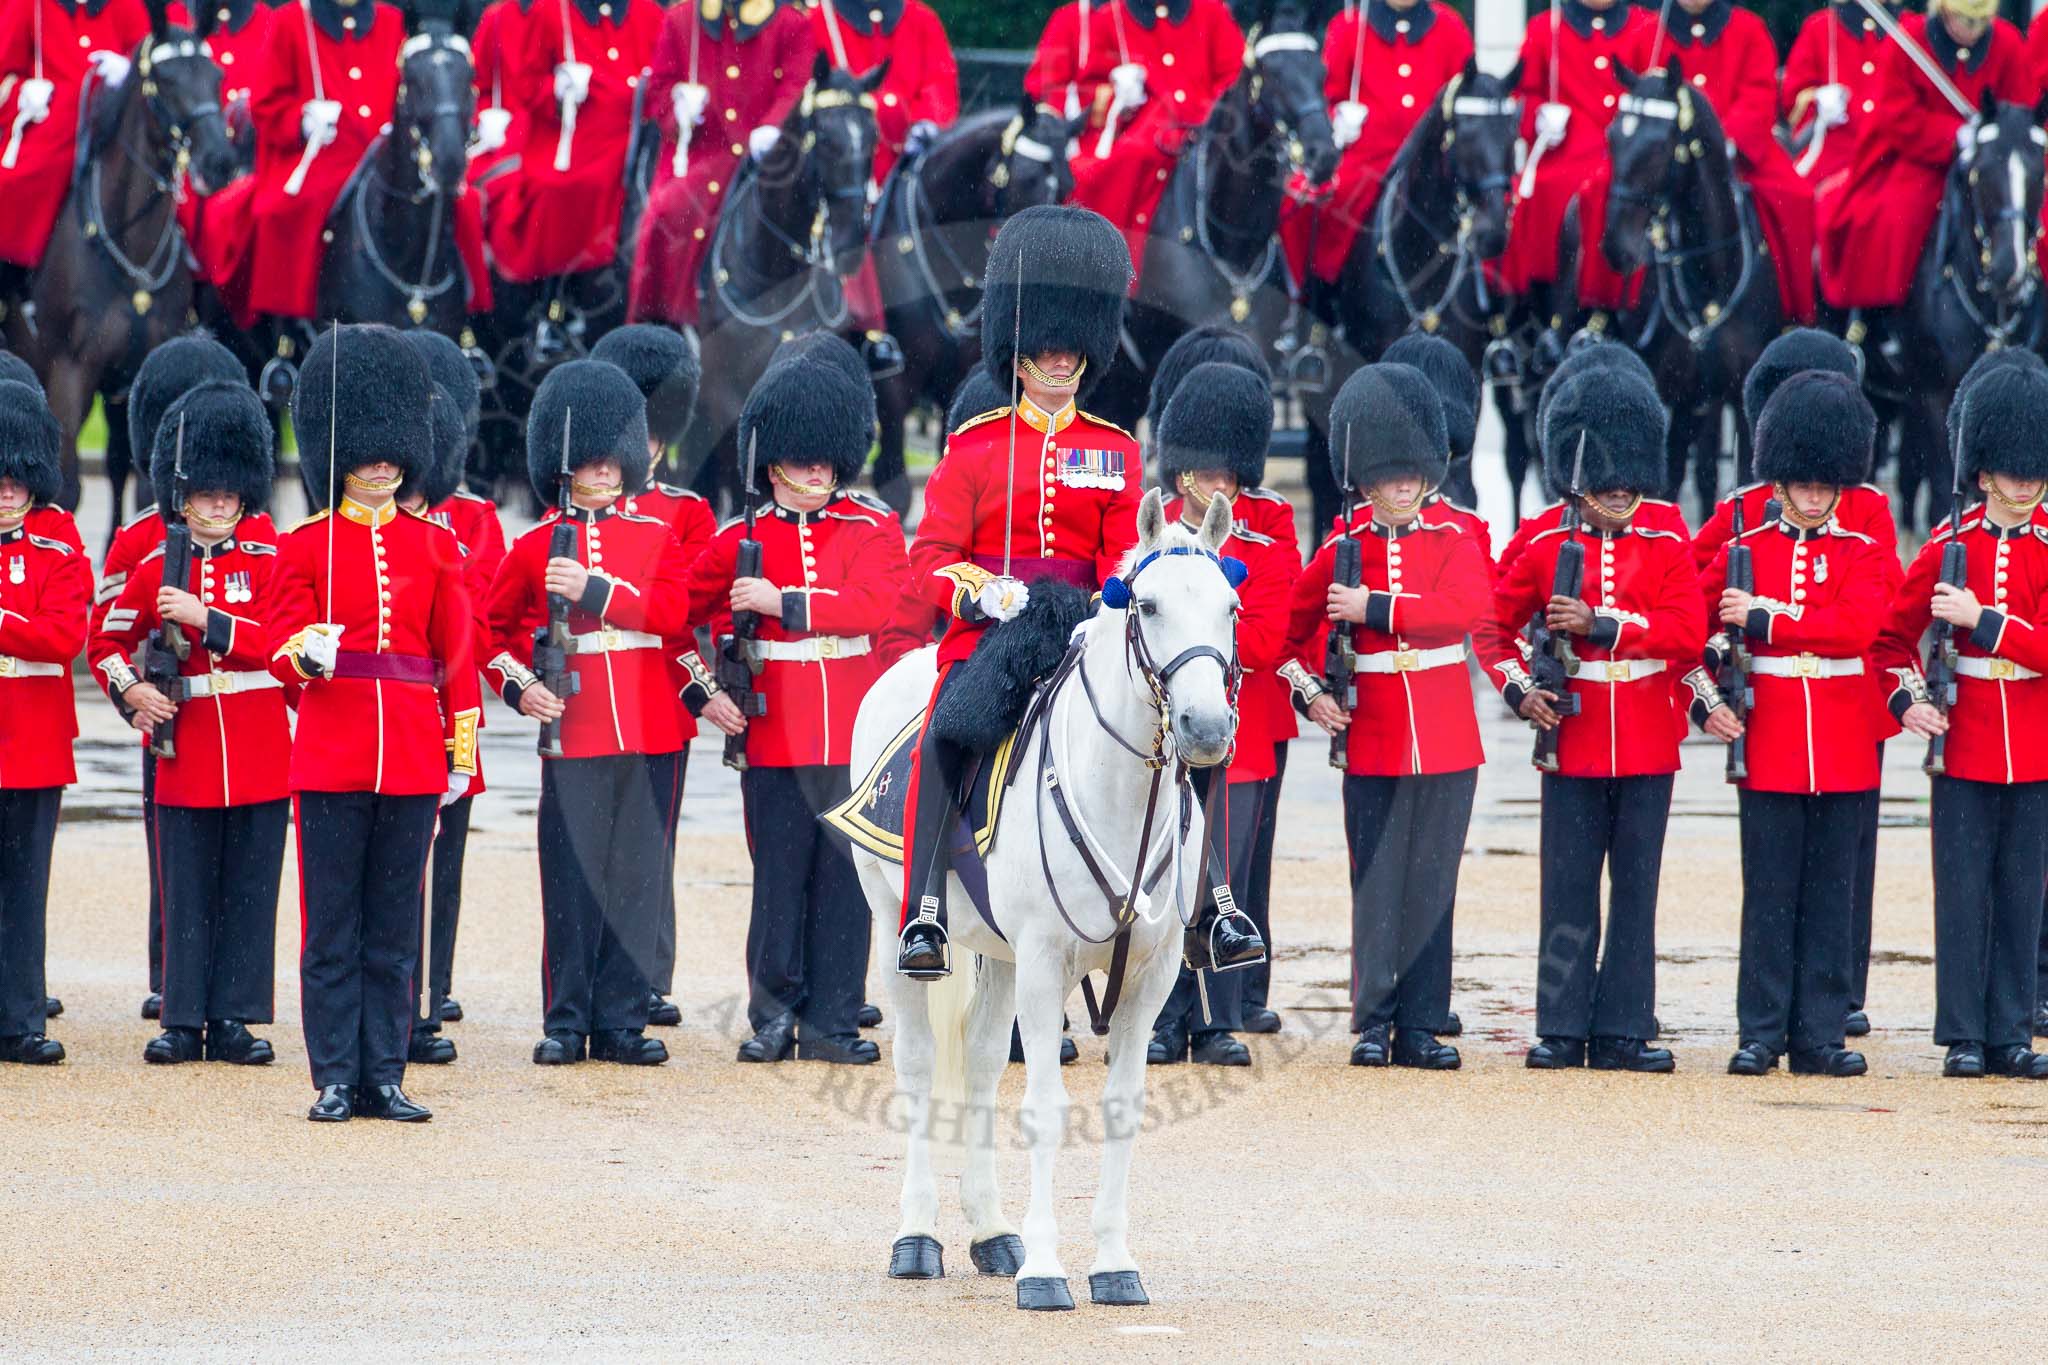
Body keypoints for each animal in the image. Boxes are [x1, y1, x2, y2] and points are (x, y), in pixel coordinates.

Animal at [2, 0, 235, 532]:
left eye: (216, 75)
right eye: (165, 80)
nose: (220, 162)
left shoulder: (141, 375)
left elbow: (147, 487)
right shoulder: (68, 373)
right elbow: (66, 487)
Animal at [843, 491, 1236, 1309]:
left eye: (1231, 607)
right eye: (1148, 605)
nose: (1207, 728)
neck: (1118, 794)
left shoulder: (1148, 977)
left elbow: (1120, 1108)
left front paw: (1113, 1262)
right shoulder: (1046, 962)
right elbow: (1047, 1111)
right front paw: (1048, 1272)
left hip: (996, 954)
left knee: (983, 1062)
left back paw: (992, 1232)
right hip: (895, 922)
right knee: (920, 1064)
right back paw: (917, 1236)